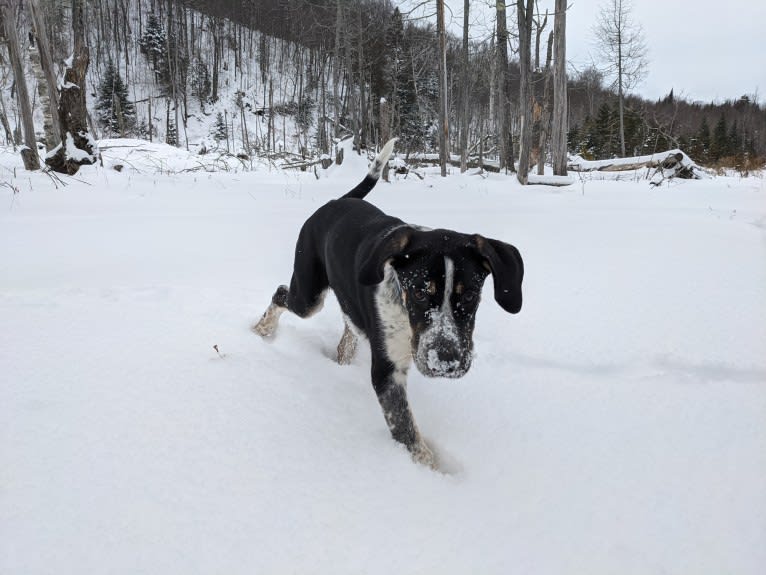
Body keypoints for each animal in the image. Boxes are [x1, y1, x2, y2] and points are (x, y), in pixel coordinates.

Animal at [255, 140, 524, 468]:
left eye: (471, 294)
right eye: (419, 293)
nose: (445, 361)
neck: (407, 319)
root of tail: (336, 201)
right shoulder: (387, 370)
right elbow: (406, 429)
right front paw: (431, 471)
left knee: (348, 328)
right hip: (308, 295)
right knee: (282, 293)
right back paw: (262, 329)